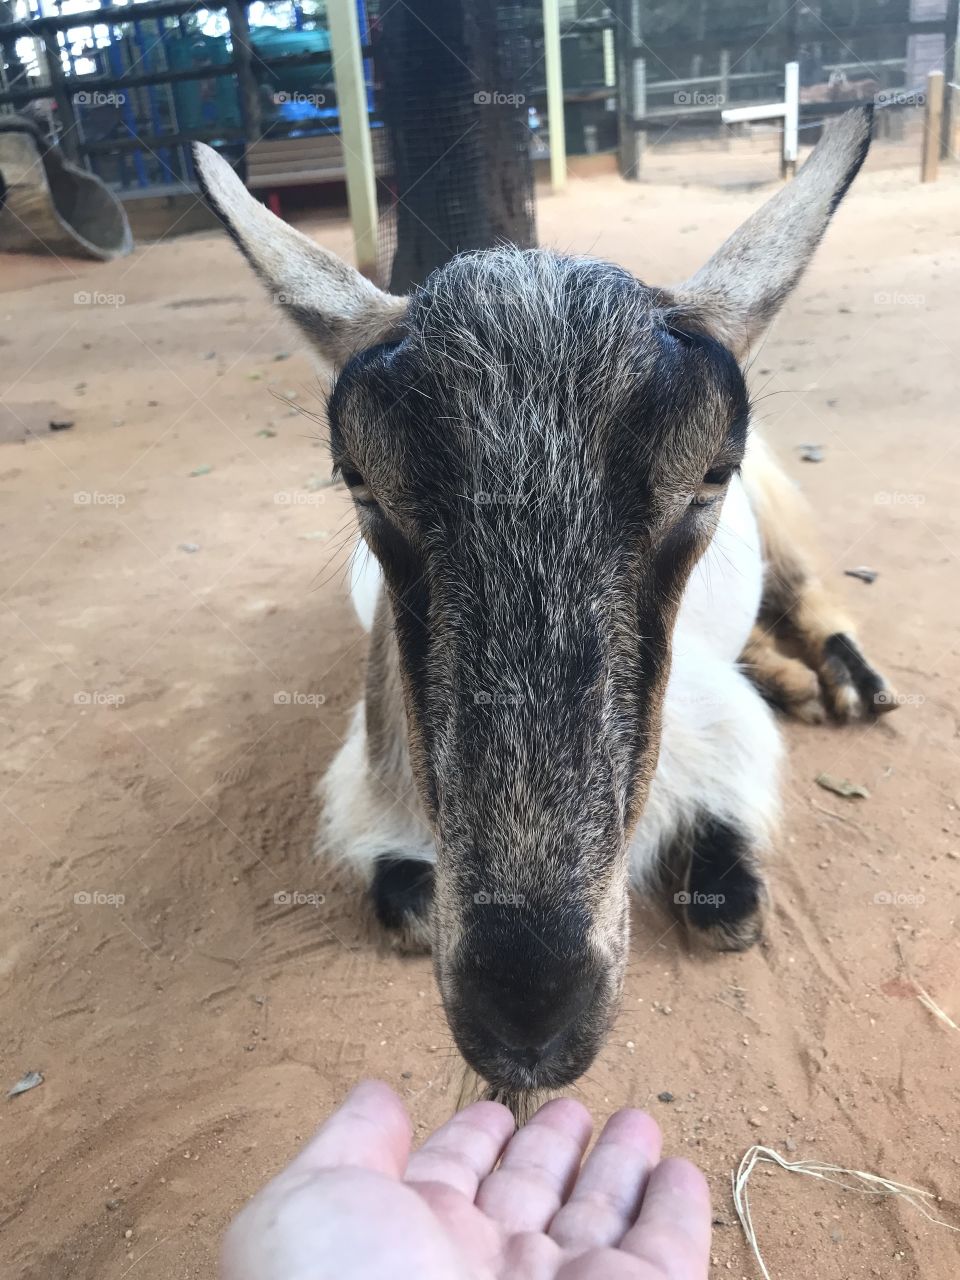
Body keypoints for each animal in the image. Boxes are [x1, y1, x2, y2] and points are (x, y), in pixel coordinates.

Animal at [195, 110, 896, 1111]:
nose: (527, 1012)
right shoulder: (372, 782)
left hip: (784, 514)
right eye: (358, 477)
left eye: (709, 473)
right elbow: (408, 906)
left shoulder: (718, 729)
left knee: (809, 588)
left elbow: (731, 907)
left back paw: (846, 679)